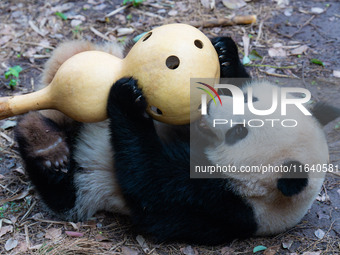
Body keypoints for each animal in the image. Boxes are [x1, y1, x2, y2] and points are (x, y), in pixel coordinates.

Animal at [13, 35, 340, 245]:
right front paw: (225, 53)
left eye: (239, 132)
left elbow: (149, 183)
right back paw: (43, 134)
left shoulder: (221, 205)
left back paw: (45, 147)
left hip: (86, 183)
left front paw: (127, 100)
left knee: (63, 192)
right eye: (251, 99)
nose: (210, 103)